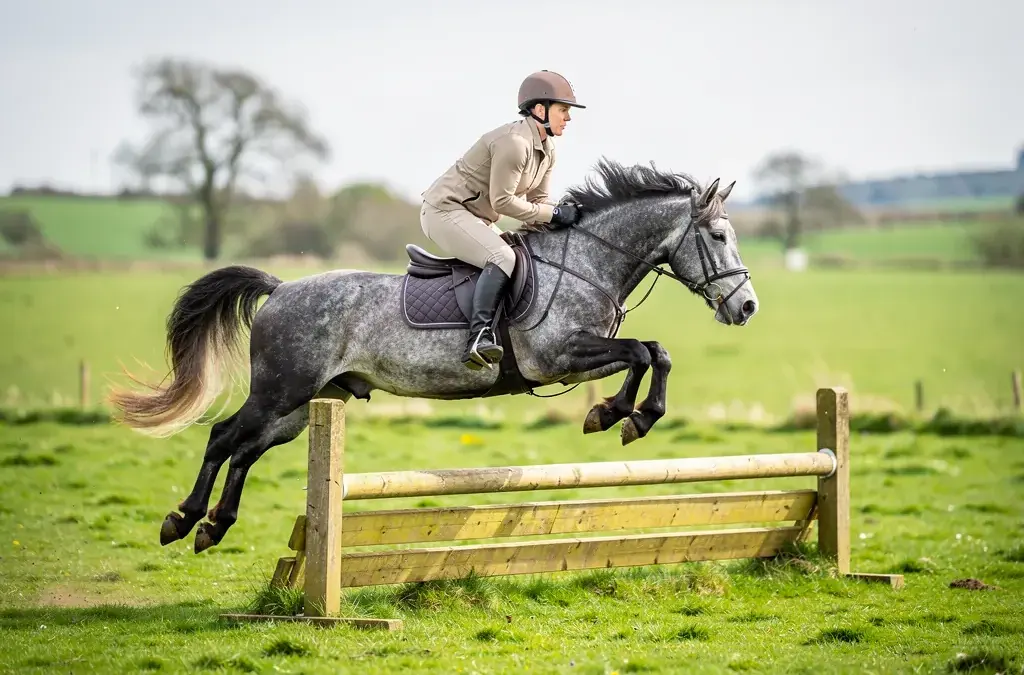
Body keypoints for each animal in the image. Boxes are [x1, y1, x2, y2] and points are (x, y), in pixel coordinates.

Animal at [108, 158, 759, 554]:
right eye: (719, 237)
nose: (747, 307)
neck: (585, 262)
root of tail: (281, 288)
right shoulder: (558, 355)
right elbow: (645, 352)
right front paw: (623, 417)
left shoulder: (581, 357)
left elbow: (650, 352)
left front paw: (621, 416)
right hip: (280, 391)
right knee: (224, 438)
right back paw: (183, 519)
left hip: (300, 407)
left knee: (245, 451)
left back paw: (214, 526)